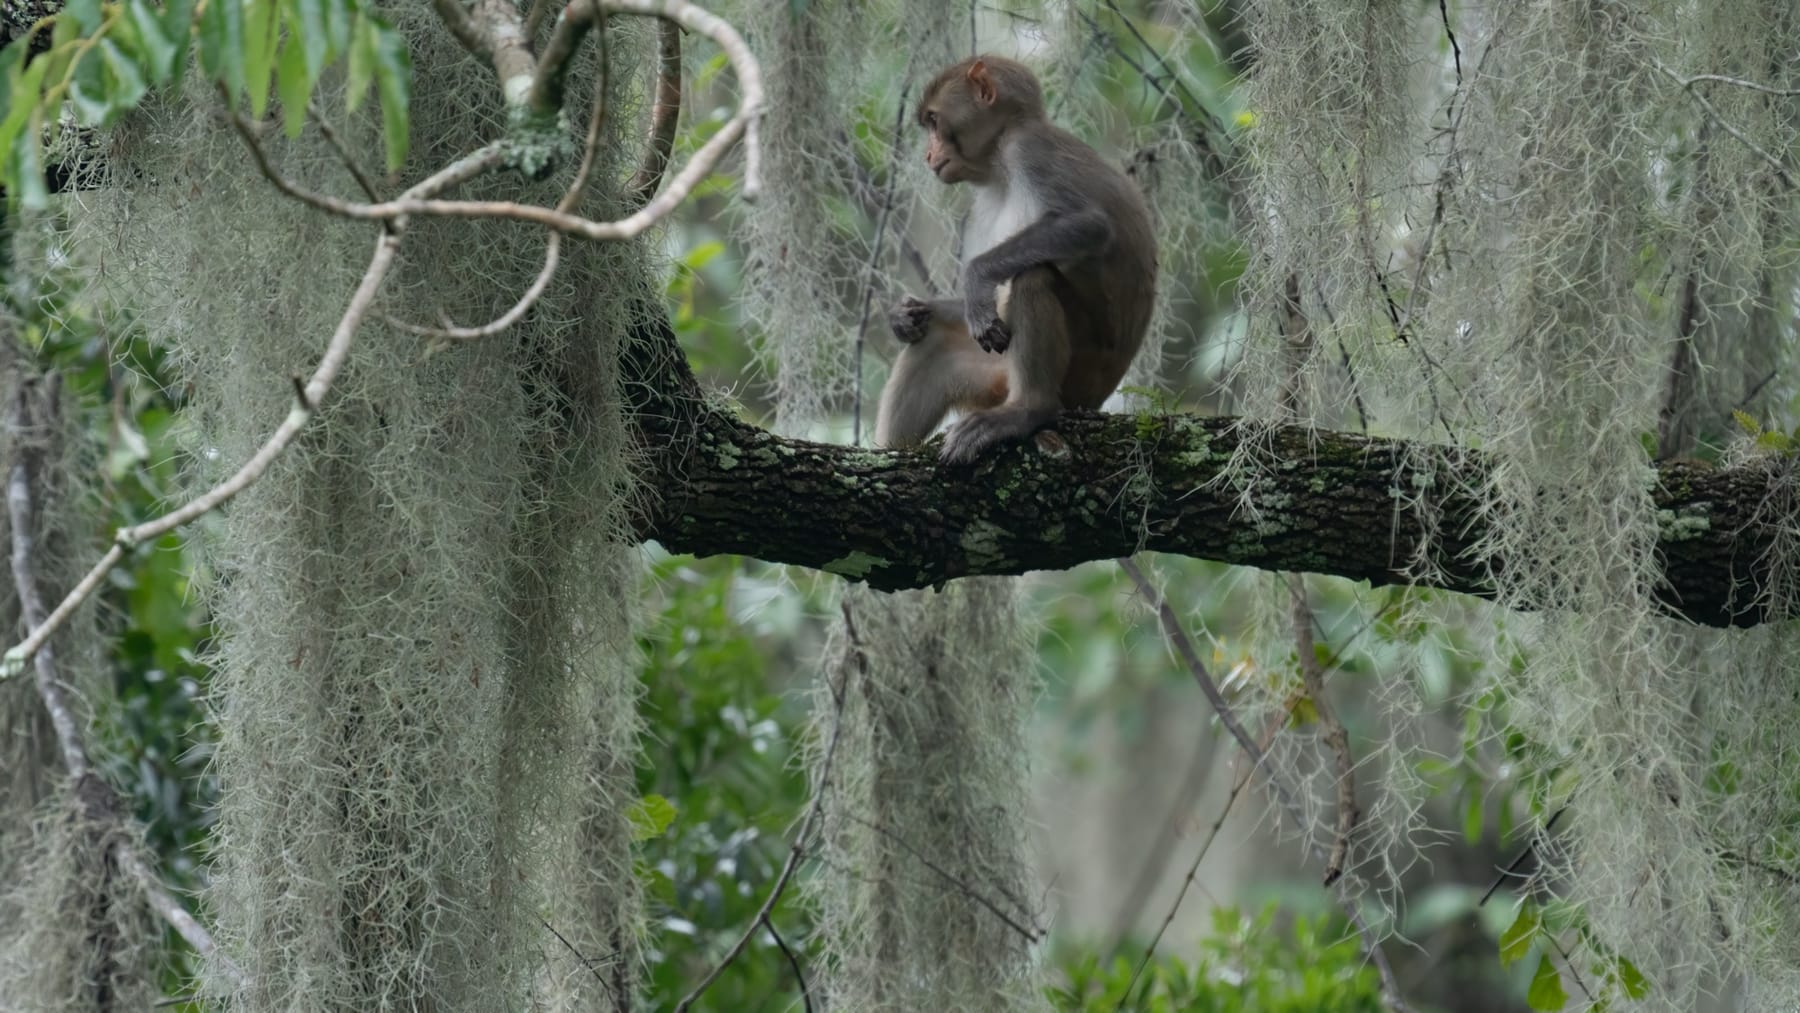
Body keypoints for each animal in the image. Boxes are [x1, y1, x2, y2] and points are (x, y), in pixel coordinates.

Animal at [875, 55, 1157, 464]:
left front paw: (975, 278)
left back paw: (1027, 410)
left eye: (934, 122)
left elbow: (1089, 224)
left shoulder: (1028, 150)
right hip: (996, 378)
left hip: (1081, 378)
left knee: (1034, 275)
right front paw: (905, 314)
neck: (999, 166)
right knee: (934, 342)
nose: (928, 155)